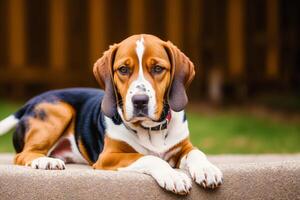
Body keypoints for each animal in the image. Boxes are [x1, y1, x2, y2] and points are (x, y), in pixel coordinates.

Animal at [0, 34, 223, 195]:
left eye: (158, 68)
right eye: (123, 69)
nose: (140, 101)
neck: (151, 130)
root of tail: (30, 102)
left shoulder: (183, 147)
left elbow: (197, 153)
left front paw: (207, 170)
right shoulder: (109, 157)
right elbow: (149, 157)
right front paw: (174, 176)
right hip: (60, 110)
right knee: (23, 154)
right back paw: (46, 161)